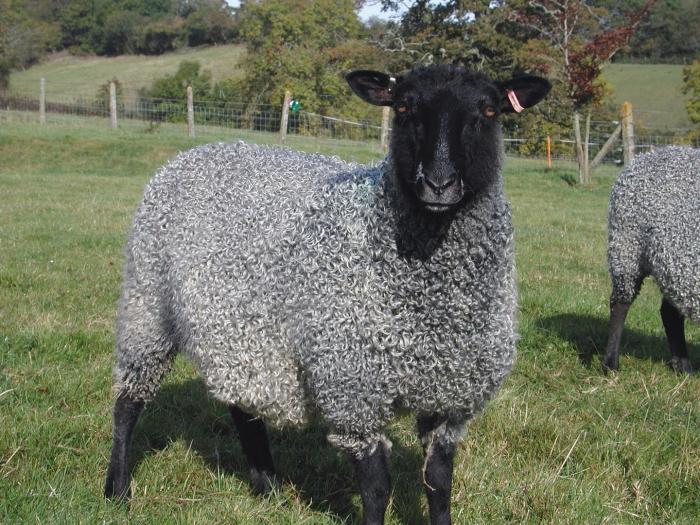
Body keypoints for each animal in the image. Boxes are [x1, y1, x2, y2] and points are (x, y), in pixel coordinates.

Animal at [105, 66, 552, 524]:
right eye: (403, 107)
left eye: (489, 110)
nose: (438, 184)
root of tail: (192, 154)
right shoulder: (353, 390)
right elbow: (377, 488)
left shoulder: (452, 398)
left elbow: (439, 484)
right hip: (147, 302)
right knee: (128, 401)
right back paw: (117, 491)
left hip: (242, 326)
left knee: (243, 402)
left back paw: (267, 486)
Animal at [600, 144, 700, 372]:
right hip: (628, 247)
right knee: (619, 303)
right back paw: (611, 364)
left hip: (674, 265)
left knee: (669, 313)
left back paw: (683, 365)